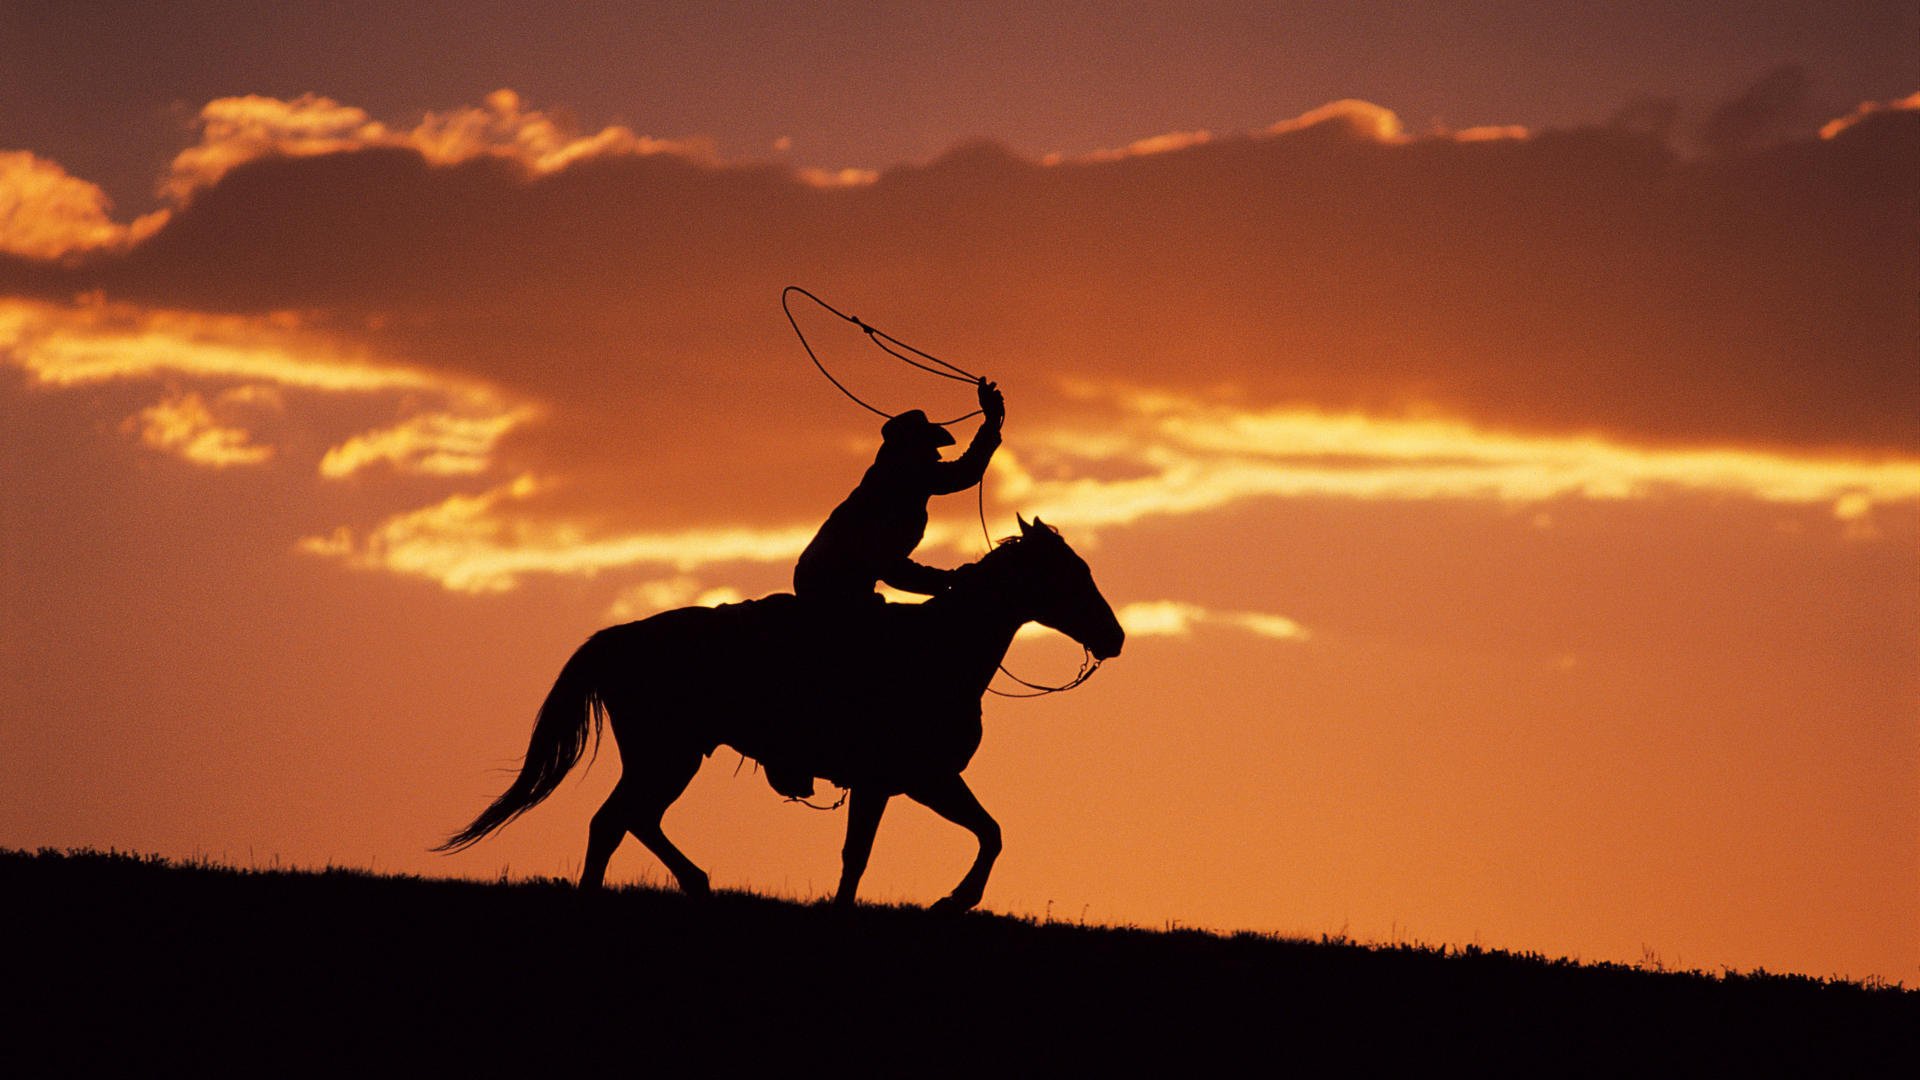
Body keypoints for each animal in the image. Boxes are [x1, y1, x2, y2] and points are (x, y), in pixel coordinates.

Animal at [435, 511, 1121, 907]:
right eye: (1069, 574)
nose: (1114, 637)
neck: (937, 649)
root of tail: (619, 637)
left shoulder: (920, 781)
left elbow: (987, 831)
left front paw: (952, 899)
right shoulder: (900, 780)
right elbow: (870, 853)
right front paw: (950, 900)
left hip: (671, 757)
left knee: (634, 820)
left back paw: (696, 883)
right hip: (666, 755)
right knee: (614, 822)